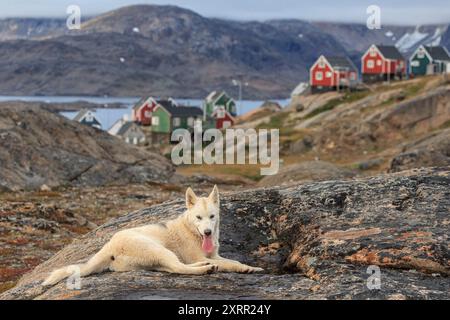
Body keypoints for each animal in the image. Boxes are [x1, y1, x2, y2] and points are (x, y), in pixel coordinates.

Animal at [43, 185, 264, 284]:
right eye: (198, 218)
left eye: (212, 216)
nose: (208, 232)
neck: (190, 229)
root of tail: (109, 245)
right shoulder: (200, 254)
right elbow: (230, 264)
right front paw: (244, 268)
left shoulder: (214, 254)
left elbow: (232, 261)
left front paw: (249, 267)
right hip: (159, 249)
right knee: (179, 268)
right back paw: (205, 269)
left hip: (157, 258)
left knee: (171, 268)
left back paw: (205, 265)